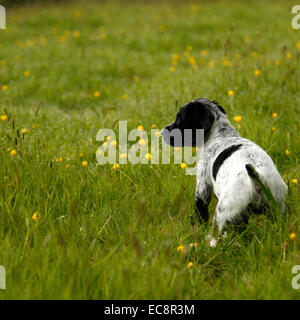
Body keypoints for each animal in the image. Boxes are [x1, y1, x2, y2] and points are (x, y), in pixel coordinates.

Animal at [163, 99, 288, 246]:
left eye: (179, 118)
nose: (163, 131)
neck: (221, 136)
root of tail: (257, 179)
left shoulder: (202, 188)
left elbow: (201, 213)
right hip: (276, 210)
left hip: (223, 213)